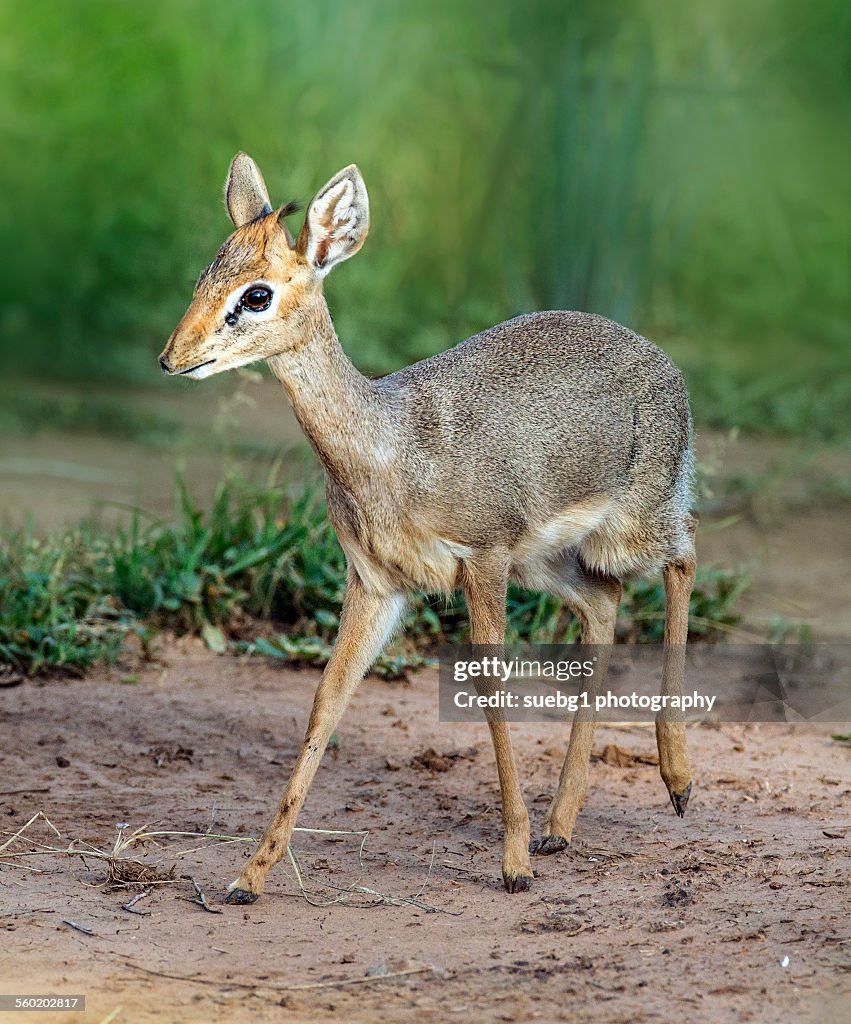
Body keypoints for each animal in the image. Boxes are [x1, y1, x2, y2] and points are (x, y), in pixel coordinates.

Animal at [159, 153, 700, 905]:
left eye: (257, 294)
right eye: (206, 276)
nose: (172, 358)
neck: (390, 447)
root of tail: (662, 360)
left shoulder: (483, 561)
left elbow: (492, 690)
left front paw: (512, 862)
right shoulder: (377, 585)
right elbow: (326, 700)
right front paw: (250, 874)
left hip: (631, 527)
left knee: (684, 558)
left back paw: (675, 783)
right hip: (552, 563)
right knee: (606, 600)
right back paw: (560, 826)